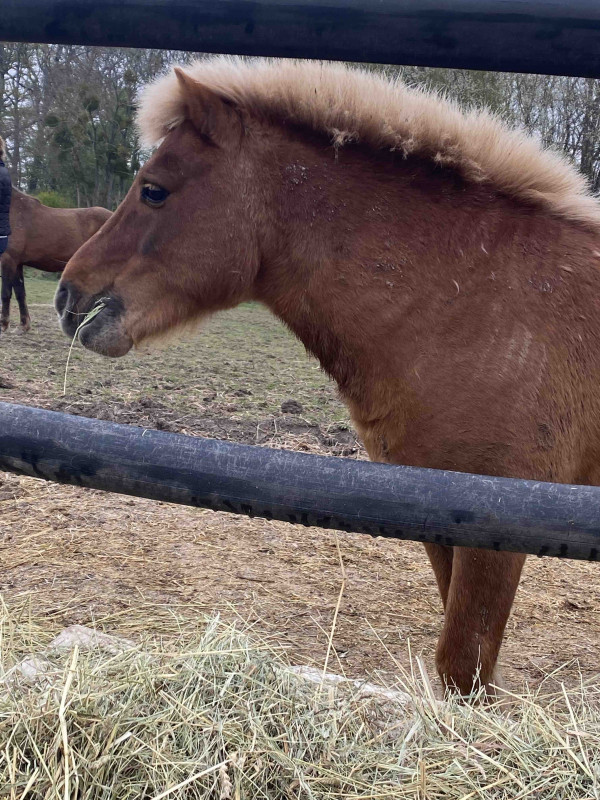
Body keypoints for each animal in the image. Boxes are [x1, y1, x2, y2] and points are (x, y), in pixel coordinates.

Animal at [0, 189, 110, 332]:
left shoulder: (8, 259)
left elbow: (5, 293)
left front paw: (3, 324)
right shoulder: (17, 263)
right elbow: (20, 293)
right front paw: (24, 325)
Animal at [52, 57, 600, 692]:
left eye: (154, 190)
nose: (68, 297)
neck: (483, 308)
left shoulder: (497, 538)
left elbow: (464, 671)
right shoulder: (444, 523)